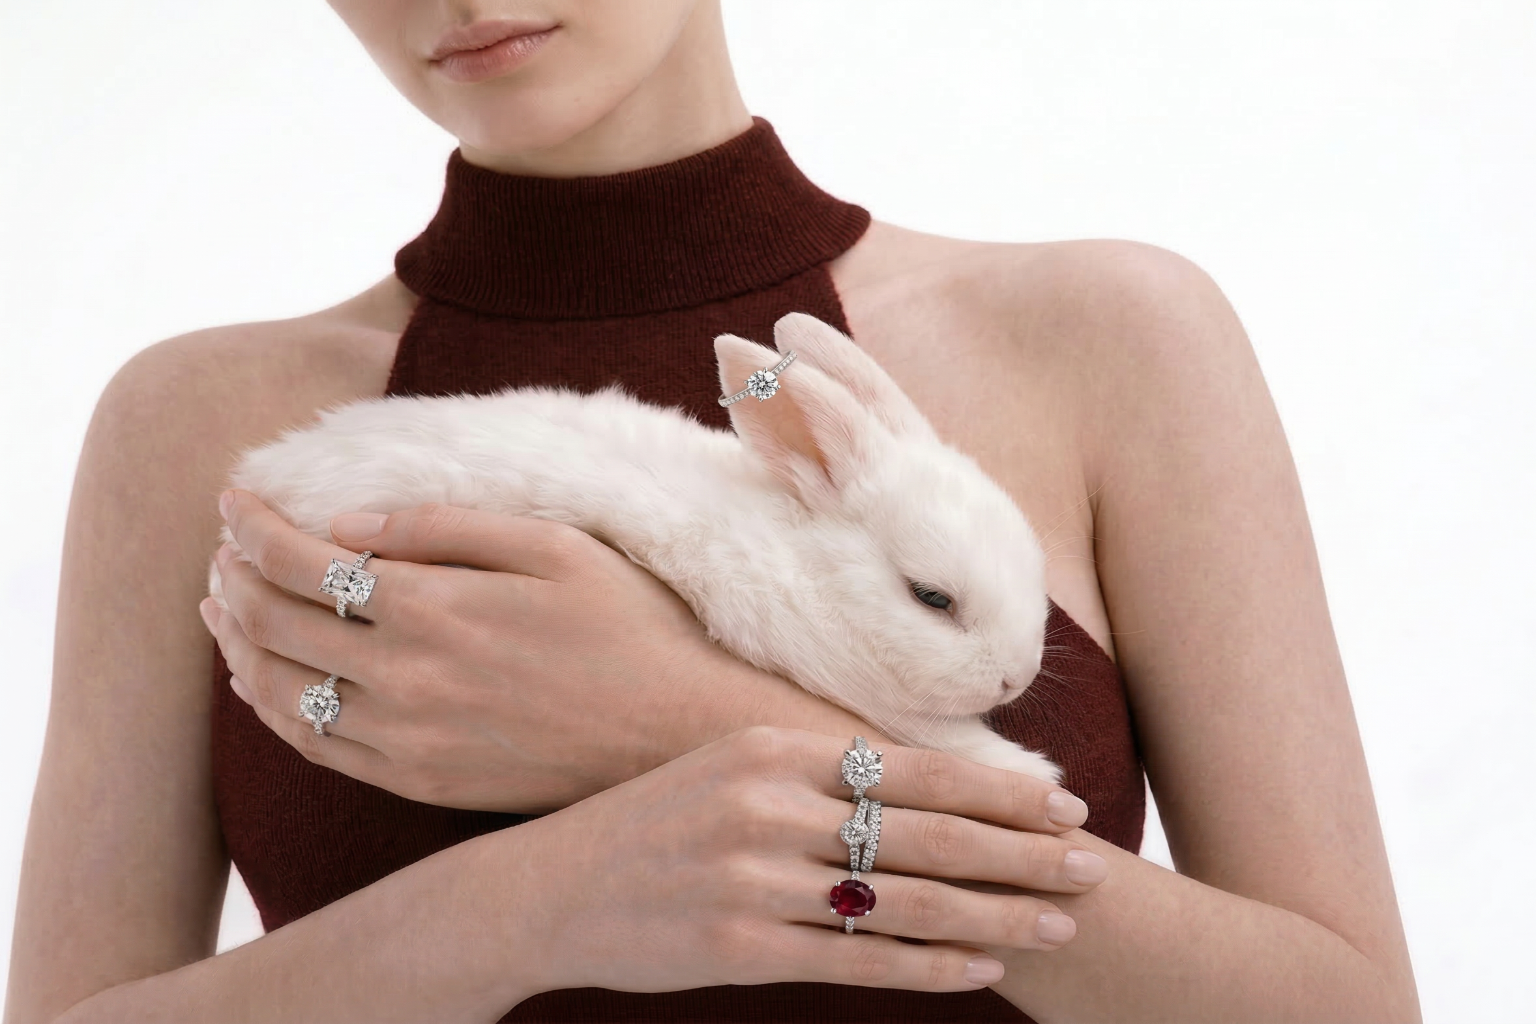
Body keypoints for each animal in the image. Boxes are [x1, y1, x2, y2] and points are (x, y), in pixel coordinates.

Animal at [209, 312, 1059, 782]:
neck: (804, 556)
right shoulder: (837, 672)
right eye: (931, 598)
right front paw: (1033, 774)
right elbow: (937, 736)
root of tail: (261, 473)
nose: (1015, 679)